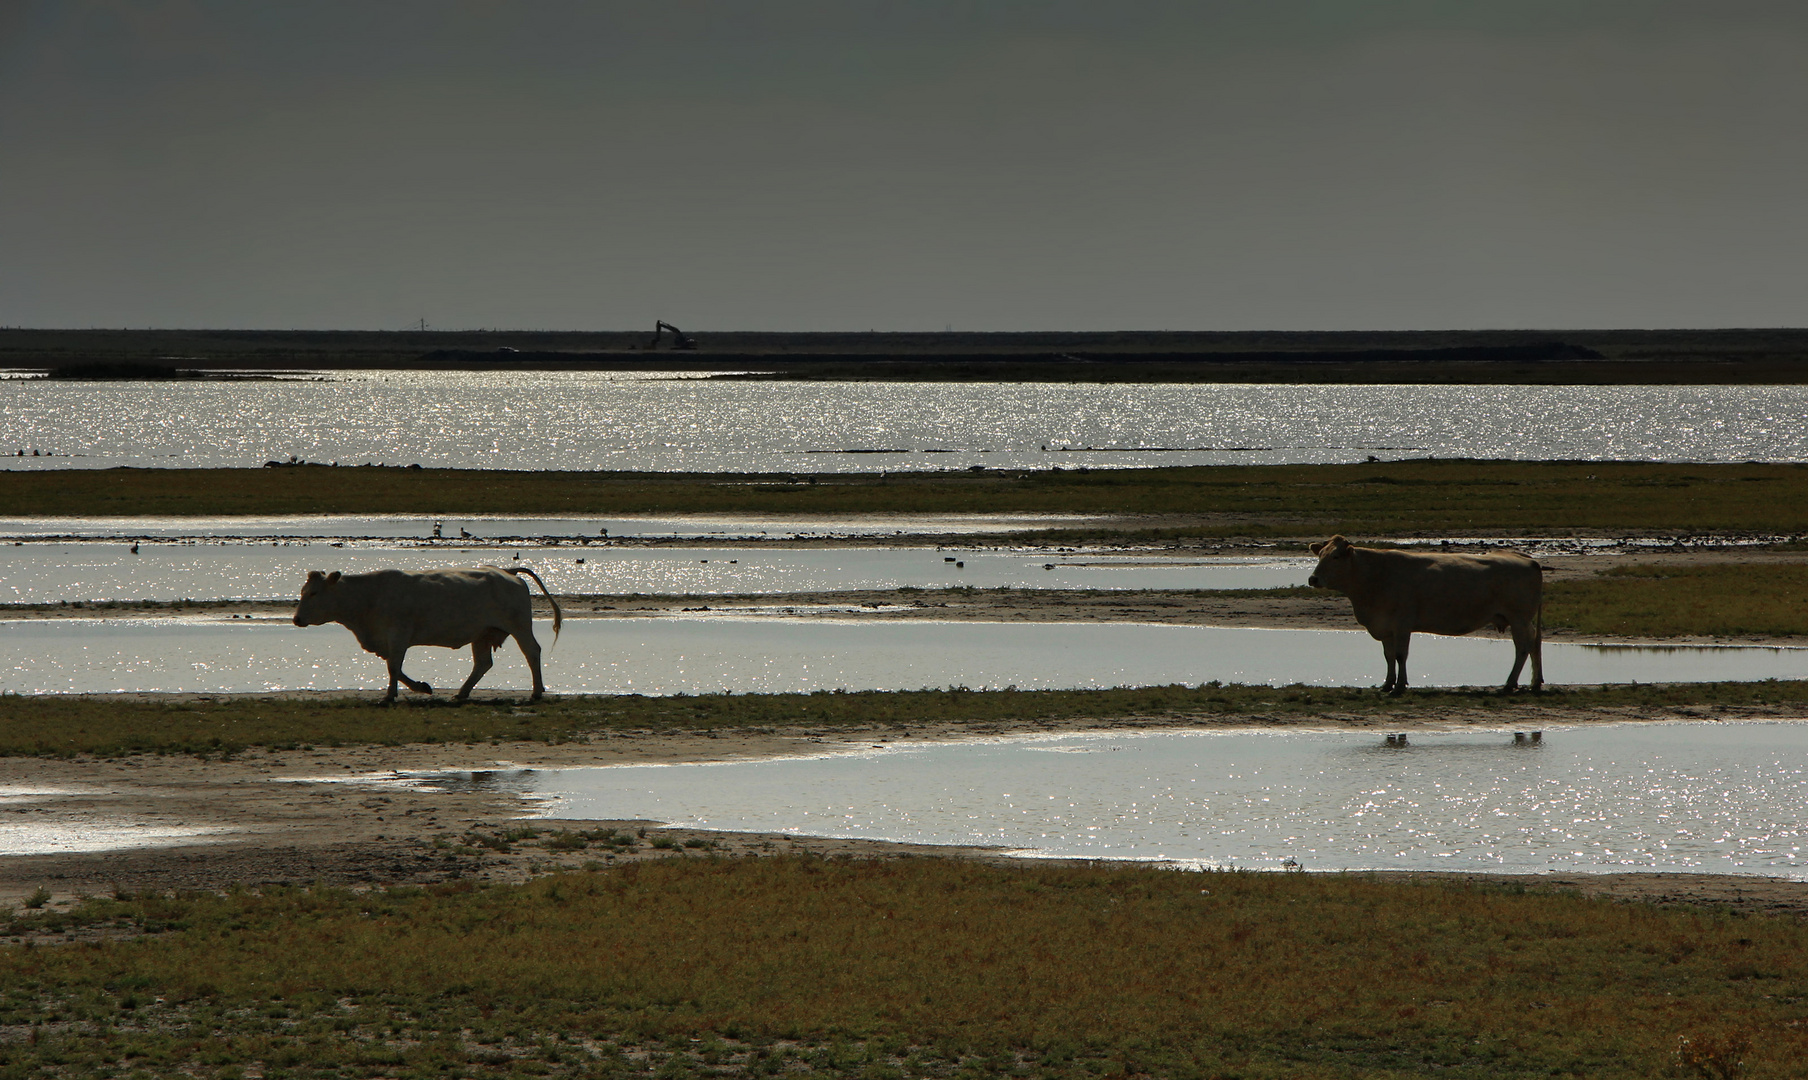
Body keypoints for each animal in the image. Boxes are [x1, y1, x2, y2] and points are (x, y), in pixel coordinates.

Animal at [292, 560, 560, 701]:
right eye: (303, 591)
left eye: (314, 593)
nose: (296, 619)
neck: (368, 597)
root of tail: (507, 572)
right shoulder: (387, 640)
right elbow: (395, 668)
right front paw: (420, 687)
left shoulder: (398, 634)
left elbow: (394, 667)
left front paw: (390, 696)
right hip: (482, 634)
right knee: (483, 663)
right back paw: (461, 693)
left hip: (520, 626)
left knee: (531, 652)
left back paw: (536, 692)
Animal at [1308, 535, 1547, 694]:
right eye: (1319, 555)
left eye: (1336, 556)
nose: (1313, 579)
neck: (1373, 577)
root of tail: (1529, 560)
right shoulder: (1384, 625)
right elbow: (1388, 656)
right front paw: (1387, 684)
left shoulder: (1402, 624)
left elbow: (1400, 655)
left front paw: (1400, 685)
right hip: (1522, 620)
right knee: (1534, 643)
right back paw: (1534, 683)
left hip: (1518, 618)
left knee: (1522, 647)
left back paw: (1509, 684)